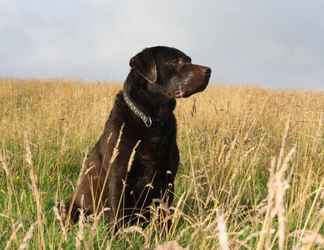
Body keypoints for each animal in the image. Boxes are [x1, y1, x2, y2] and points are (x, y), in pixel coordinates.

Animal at [64, 45, 211, 229]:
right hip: (71, 206)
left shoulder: (168, 179)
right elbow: (117, 212)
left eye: (189, 60)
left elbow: (165, 215)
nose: (209, 71)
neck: (152, 120)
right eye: (176, 61)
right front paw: (117, 234)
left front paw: (166, 233)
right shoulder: (118, 175)